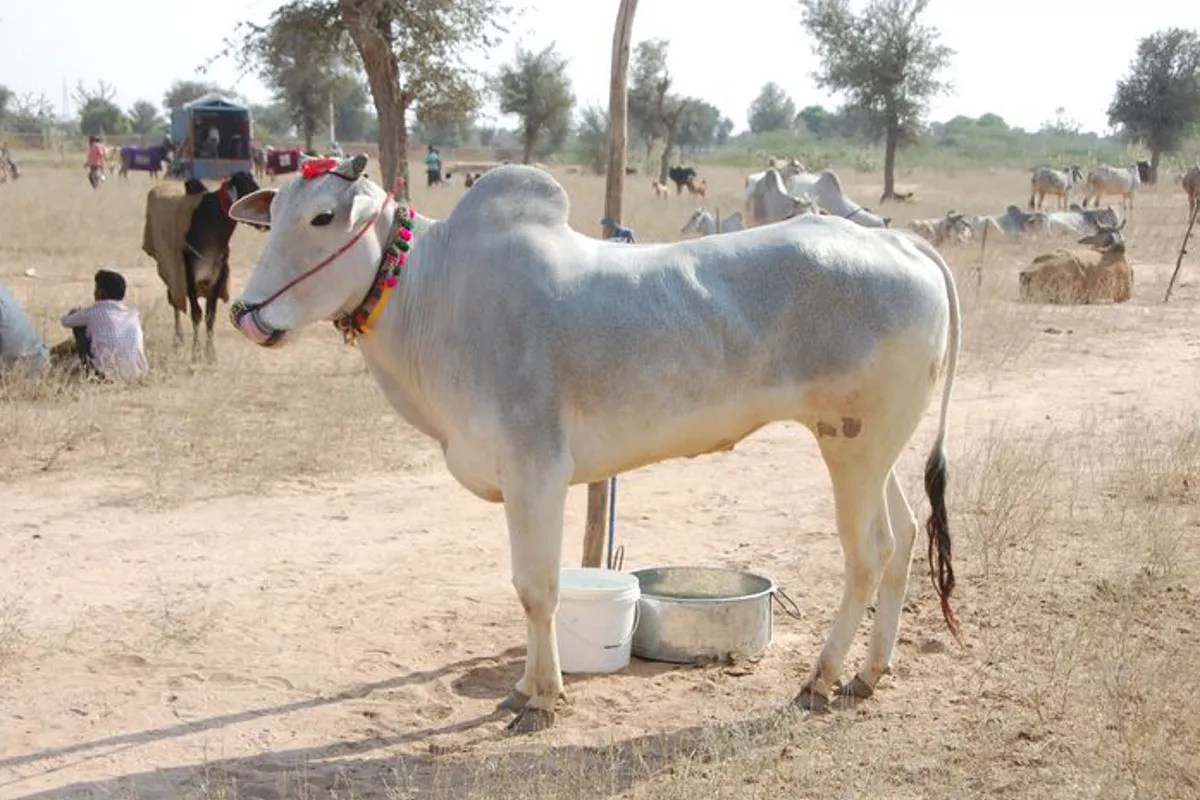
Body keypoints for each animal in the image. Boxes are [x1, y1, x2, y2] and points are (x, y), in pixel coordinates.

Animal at [143, 171, 261, 360]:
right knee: (175, 303)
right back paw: (178, 341)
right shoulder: (189, 276)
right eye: (247, 191)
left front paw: (211, 355)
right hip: (171, 276)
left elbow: (210, 316)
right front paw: (196, 354)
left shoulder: (217, 277)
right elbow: (196, 313)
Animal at [227, 155, 962, 732]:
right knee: (903, 538)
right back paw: (868, 673)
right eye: (272, 216)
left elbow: (536, 588)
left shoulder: (536, 470)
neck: (433, 293)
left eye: (323, 217)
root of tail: (905, 246)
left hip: (853, 448)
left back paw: (821, 678)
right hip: (872, 449)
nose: (246, 313)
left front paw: (541, 699)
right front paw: (523, 689)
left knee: (868, 554)